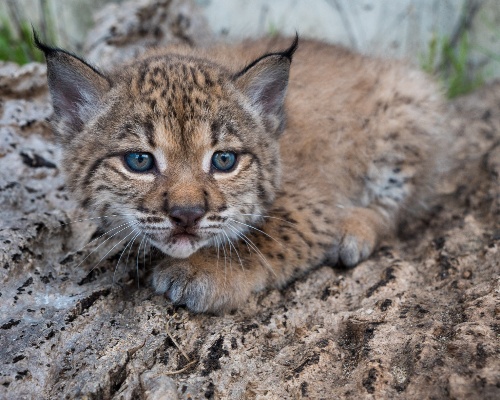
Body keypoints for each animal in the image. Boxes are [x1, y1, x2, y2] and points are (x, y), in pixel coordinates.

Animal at [36, 33, 450, 312]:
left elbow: (264, 235)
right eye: (139, 161)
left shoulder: (311, 205)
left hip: (409, 102)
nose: (187, 215)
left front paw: (204, 270)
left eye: (224, 161)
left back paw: (355, 228)